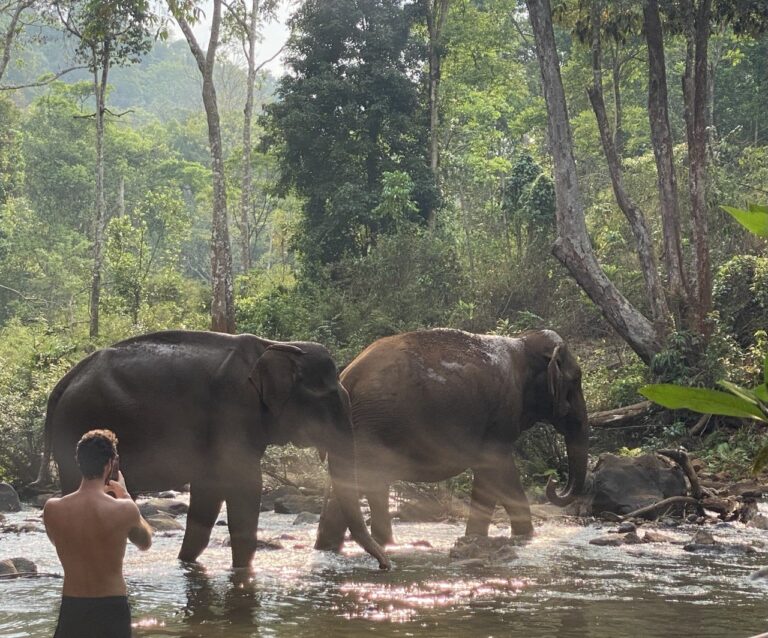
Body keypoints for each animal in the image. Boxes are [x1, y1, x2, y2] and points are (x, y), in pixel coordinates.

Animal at [31, 332, 390, 572]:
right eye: (327, 400)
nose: (386, 566)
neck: (273, 346)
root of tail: (64, 382)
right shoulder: (233, 411)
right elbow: (245, 484)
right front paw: (243, 572)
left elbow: (208, 492)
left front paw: (187, 564)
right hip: (75, 424)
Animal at [316, 330, 592, 552]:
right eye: (576, 380)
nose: (553, 481)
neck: (522, 344)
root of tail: (348, 376)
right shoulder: (500, 418)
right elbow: (499, 471)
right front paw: (521, 537)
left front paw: (479, 538)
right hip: (372, 427)